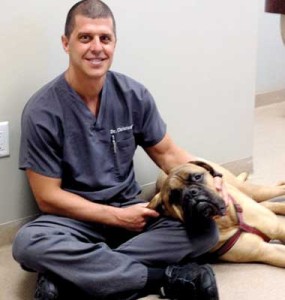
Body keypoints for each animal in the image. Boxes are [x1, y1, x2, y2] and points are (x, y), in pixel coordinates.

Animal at [148, 161, 284, 268]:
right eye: (174, 196)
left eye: (197, 177)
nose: (191, 193)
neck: (226, 220)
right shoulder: (265, 250)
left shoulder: (278, 229)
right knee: (267, 203)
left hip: (251, 190)